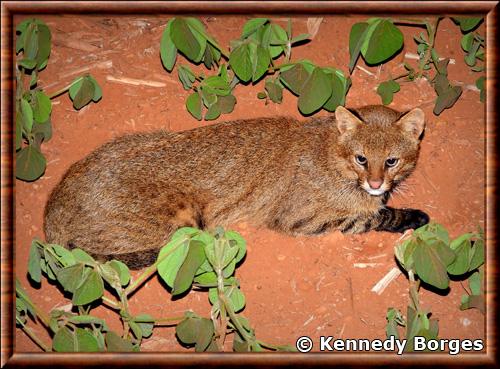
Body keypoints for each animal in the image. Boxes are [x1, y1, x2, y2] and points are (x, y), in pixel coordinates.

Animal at [44, 105, 430, 268]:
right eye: (361, 159)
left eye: (392, 161)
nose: (377, 182)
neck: (332, 153)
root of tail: (54, 205)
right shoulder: (302, 219)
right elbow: (375, 215)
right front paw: (411, 216)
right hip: (180, 220)